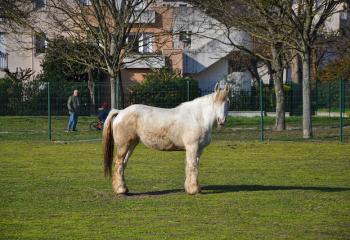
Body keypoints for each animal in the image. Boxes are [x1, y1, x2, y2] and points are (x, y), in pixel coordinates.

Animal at [102, 83, 231, 194]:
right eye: (215, 101)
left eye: (228, 101)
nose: (221, 120)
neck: (198, 117)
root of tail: (120, 111)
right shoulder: (192, 147)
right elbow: (192, 166)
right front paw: (193, 190)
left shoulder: (199, 149)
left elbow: (193, 166)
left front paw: (193, 188)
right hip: (123, 145)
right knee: (119, 163)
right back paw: (120, 190)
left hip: (132, 144)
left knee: (123, 164)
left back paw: (123, 189)